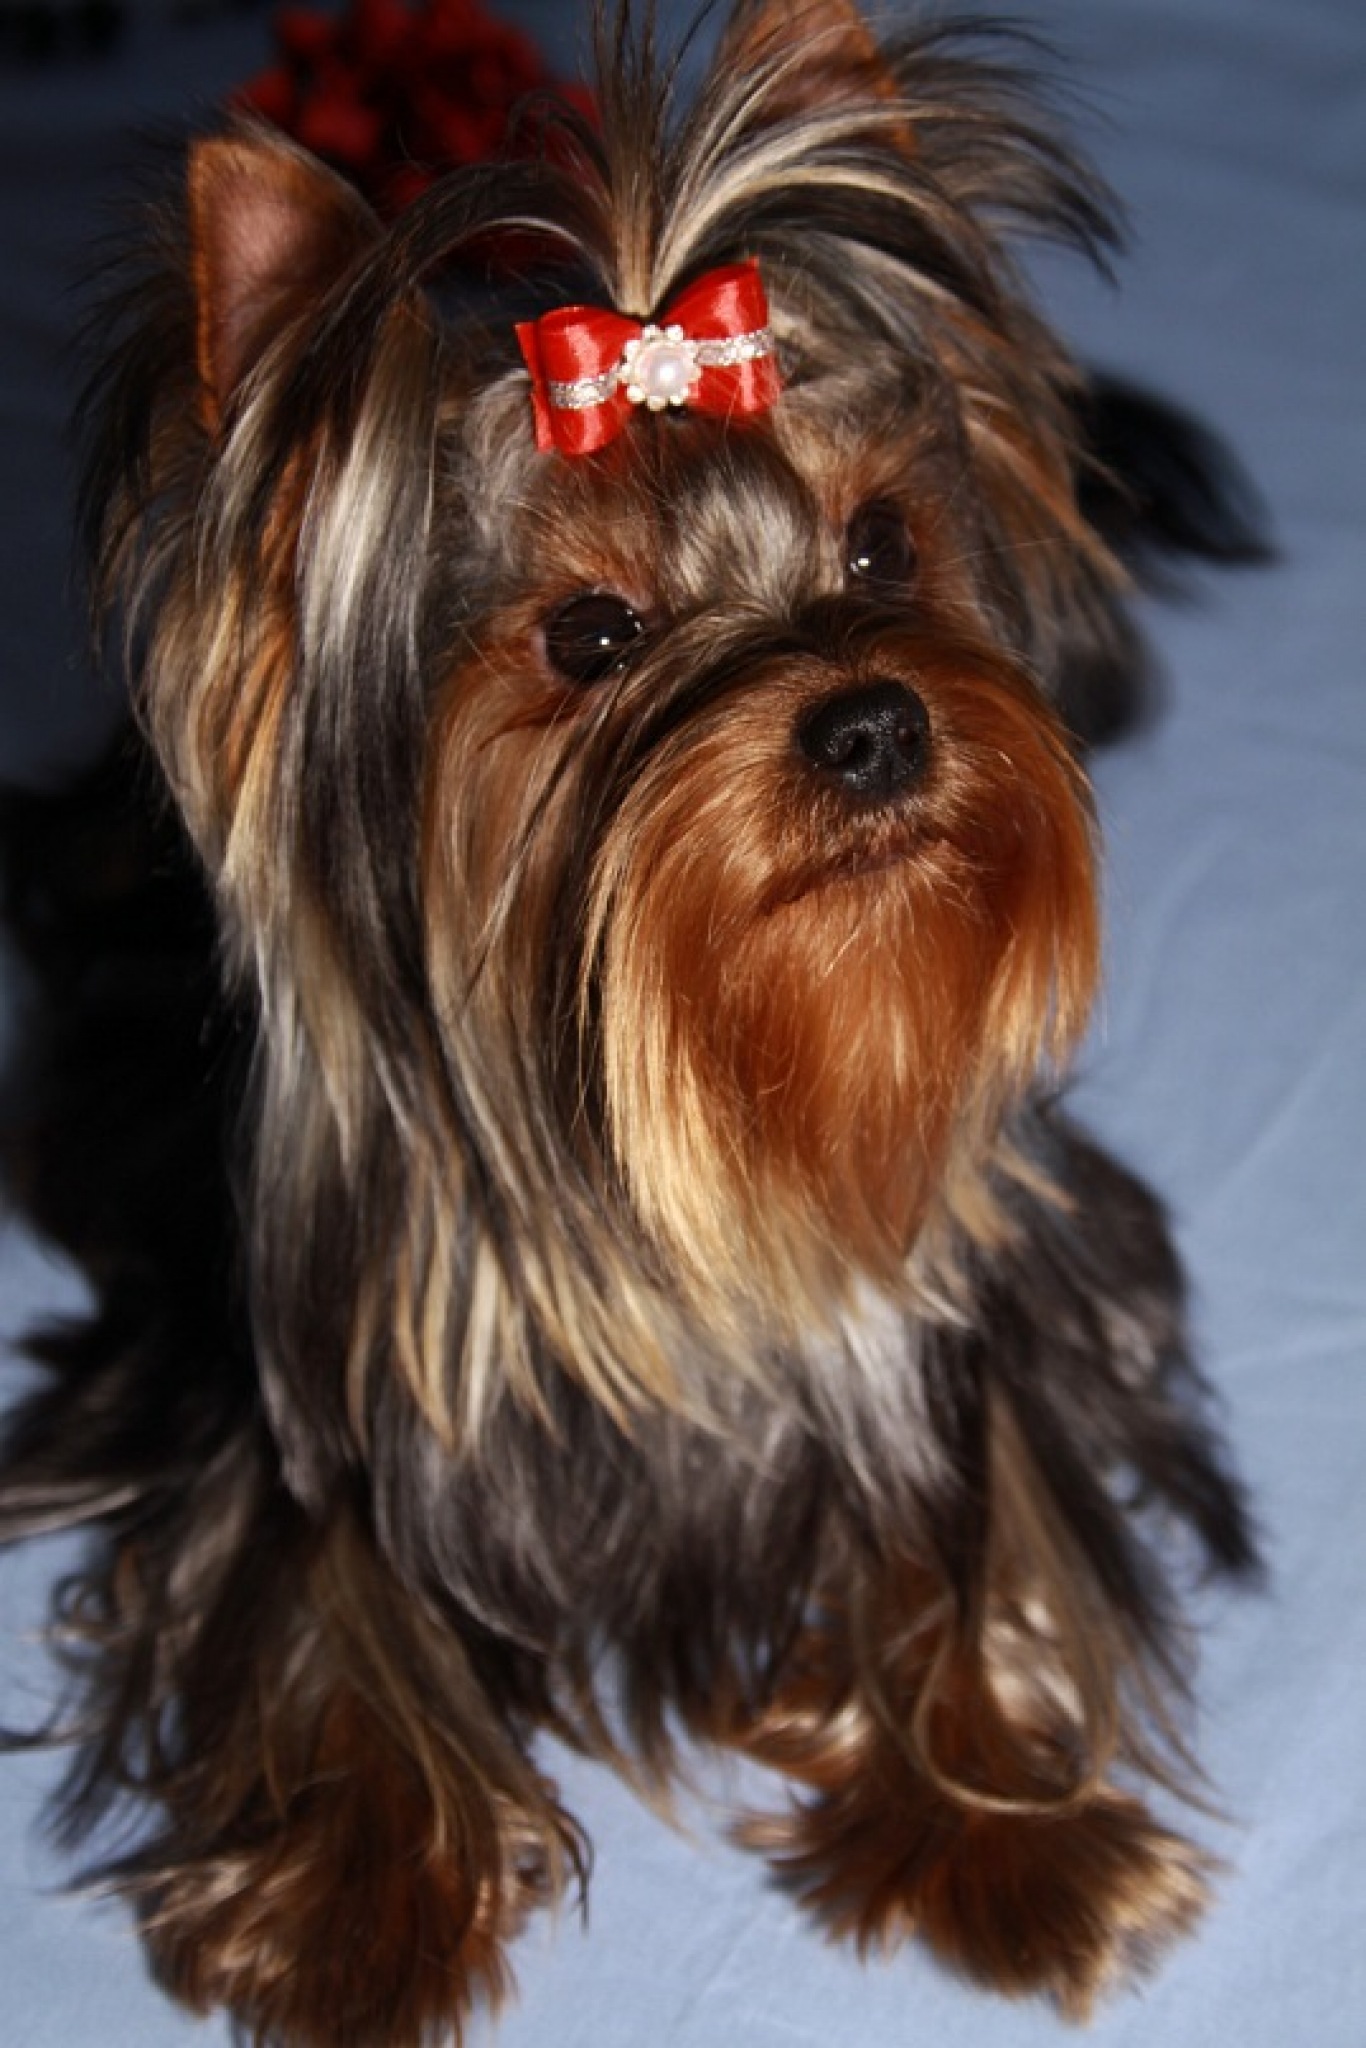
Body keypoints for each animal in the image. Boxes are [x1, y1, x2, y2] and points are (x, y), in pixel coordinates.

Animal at [0, 3, 1264, 2042]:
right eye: (588, 638)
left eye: (878, 552)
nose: (869, 722)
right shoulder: (293, 1388)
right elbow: (314, 1608)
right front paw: (350, 1910)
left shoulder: (972, 1307)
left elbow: (981, 1522)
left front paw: (1018, 1827)